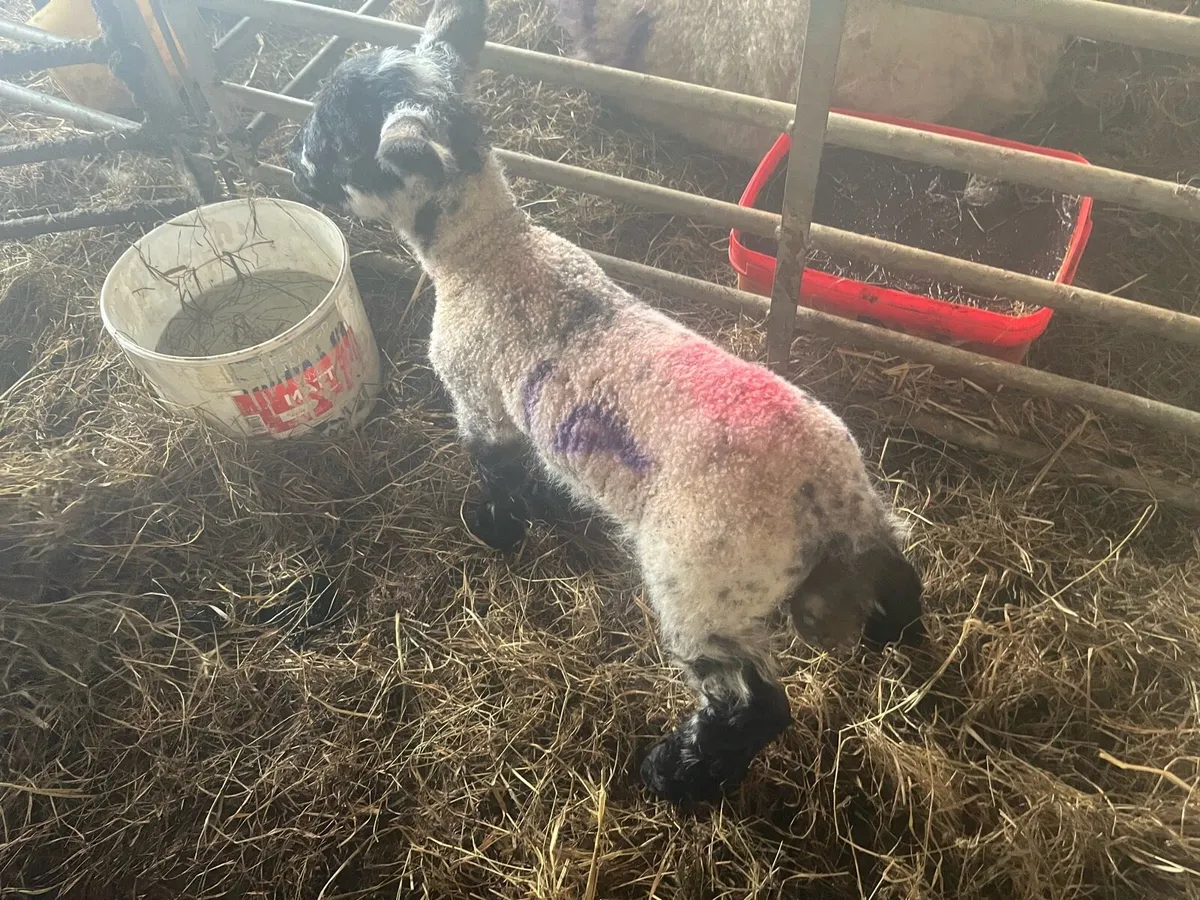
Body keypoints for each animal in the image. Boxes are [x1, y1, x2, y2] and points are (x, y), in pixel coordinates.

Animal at [287, 0, 925, 804]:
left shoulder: (476, 396)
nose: (296, 166)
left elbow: (496, 468)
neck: (489, 253)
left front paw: (494, 529)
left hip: (702, 583)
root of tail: (824, 494)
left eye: (339, 137)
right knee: (900, 585)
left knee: (755, 703)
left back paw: (677, 776)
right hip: (852, 536)